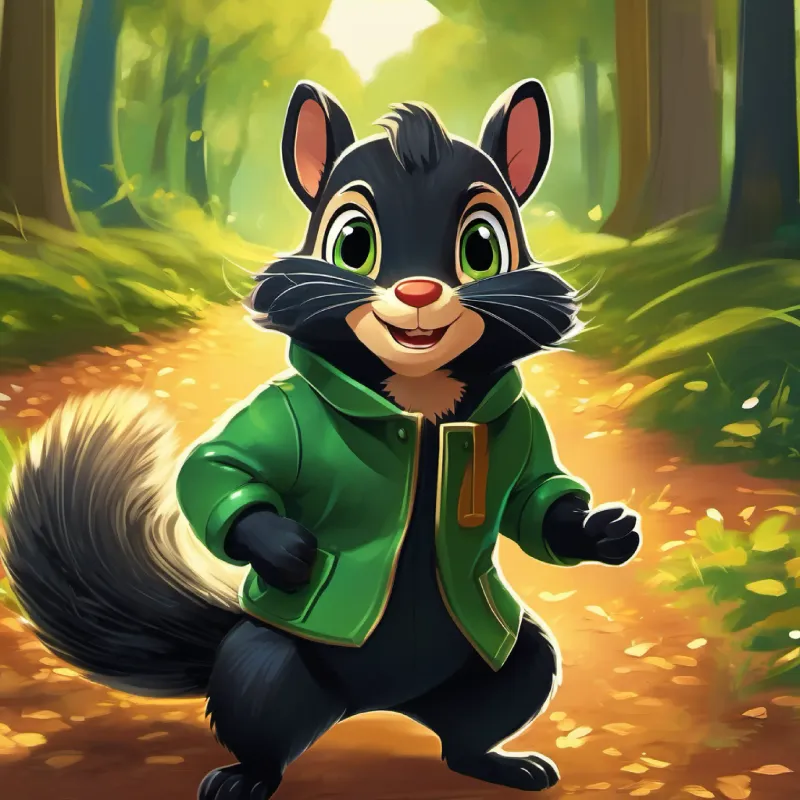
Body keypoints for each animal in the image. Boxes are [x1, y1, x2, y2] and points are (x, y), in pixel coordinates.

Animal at [1, 79, 642, 800]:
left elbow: (537, 498)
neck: (417, 397)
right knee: (264, 724)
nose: (418, 291)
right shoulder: (287, 414)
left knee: (470, 730)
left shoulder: (522, 425)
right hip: (266, 667)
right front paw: (286, 548)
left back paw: (503, 764)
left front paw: (601, 532)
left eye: (482, 246)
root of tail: (379, 706)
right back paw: (244, 779)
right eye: (352, 242)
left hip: (510, 660)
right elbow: (218, 467)